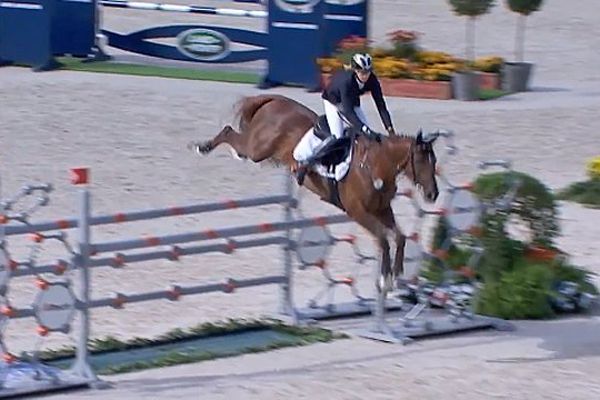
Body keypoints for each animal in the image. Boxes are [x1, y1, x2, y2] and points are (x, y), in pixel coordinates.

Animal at [190, 94, 438, 294]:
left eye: (434, 161)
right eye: (420, 161)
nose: (432, 195)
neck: (375, 165)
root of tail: (274, 100)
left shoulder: (382, 209)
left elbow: (399, 237)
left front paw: (395, 275)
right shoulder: (358, 212)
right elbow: (383, 240)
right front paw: (385, 279)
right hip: (257, 149)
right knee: (230, 133)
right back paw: (203, 148)